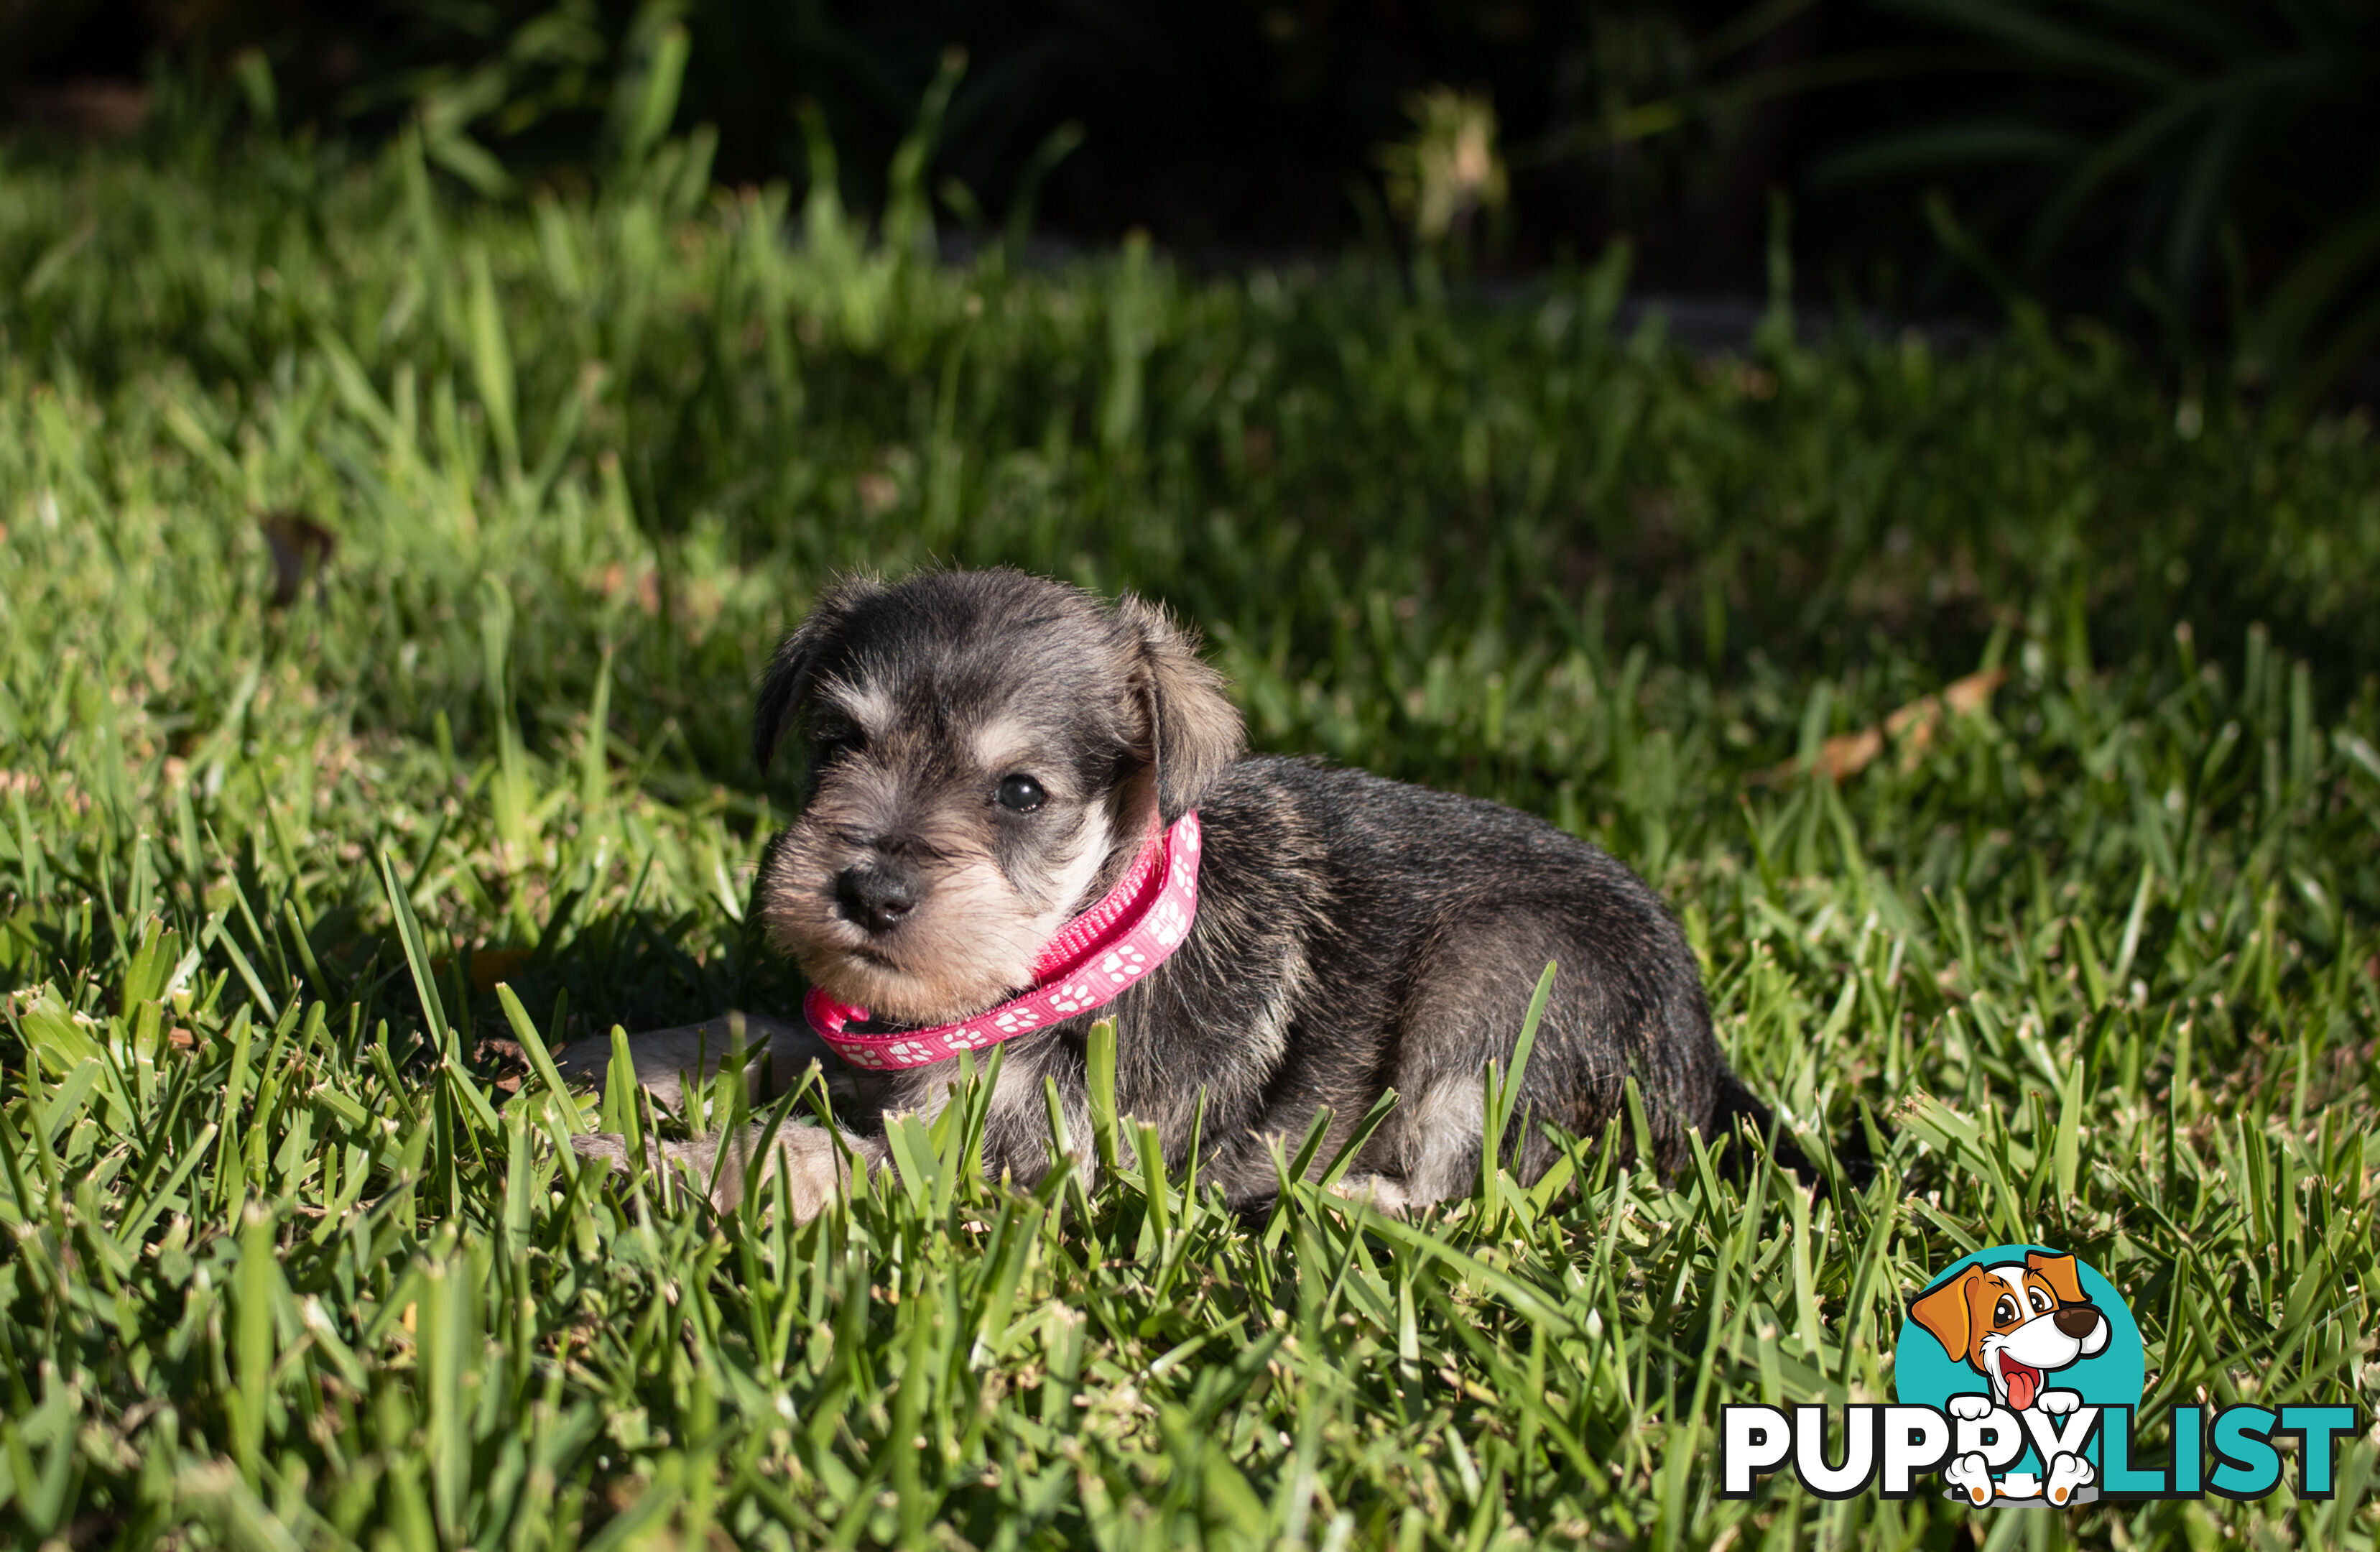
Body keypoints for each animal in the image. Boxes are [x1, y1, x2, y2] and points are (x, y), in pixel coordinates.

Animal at [561, 566, 1799, 1214]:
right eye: (833, 747)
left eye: (1019, 791)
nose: (869, 890)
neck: (1070, 954)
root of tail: (1703, 1059)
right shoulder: (876, 1046)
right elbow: (753, 1026)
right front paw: (595, 1064)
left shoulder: (1007, 1162)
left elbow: (806, 1153)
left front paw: (637, 1163)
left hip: (1499, 978)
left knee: (1470, 1183)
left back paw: (1323, 1204)